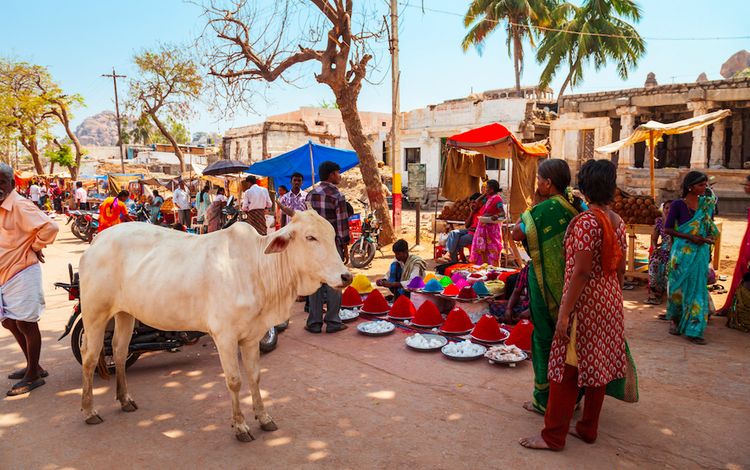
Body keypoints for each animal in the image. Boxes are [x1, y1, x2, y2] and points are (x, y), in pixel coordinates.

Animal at [78, 211, 354, 442]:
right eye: (310, 237)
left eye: (331, 235)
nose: (346, 276)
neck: (258, 269)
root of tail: (97, 240)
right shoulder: (225, 336)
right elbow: (235, 381)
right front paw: (240, 426)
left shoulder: (252, 336)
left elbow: (255, 377)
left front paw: (264, 417)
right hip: (94, 313)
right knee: (90, 357)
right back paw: (89, 411)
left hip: (125, 313)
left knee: (119, 351)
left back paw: (125, 399)